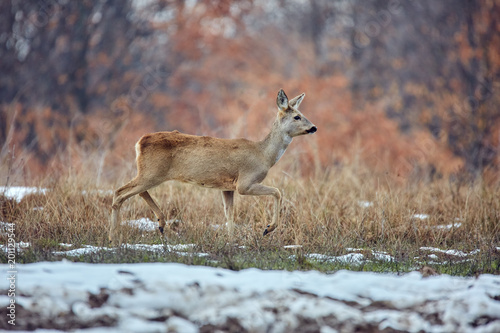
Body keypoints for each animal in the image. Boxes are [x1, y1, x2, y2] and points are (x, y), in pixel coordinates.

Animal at [111, 88, 318, 244]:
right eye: (297, 117)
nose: (314, 127)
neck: (263, 154)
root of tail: (139, 142)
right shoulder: (245, 182)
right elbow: (277, 191)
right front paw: (268, 228)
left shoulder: (227, 188)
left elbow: (229, 215)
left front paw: (231, 242)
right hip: (152, 172)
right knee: (120, 193)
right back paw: (114, 237)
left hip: (149, 172)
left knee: (133, 192)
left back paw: (160, 223)